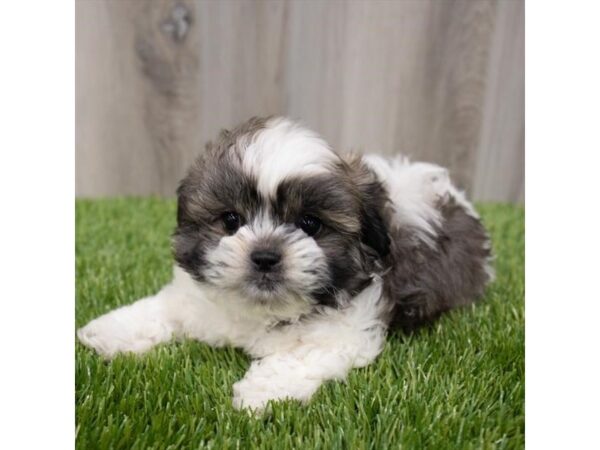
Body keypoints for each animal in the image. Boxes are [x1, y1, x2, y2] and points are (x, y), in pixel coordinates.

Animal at [78, 115, 492, 412]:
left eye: (310, 224)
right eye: (231, 220)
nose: (264, 255)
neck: (260, 311)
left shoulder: (346, 332)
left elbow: (299, 356)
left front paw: (260, 392)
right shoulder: (194, 298)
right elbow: (163, 307)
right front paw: (109, 331)